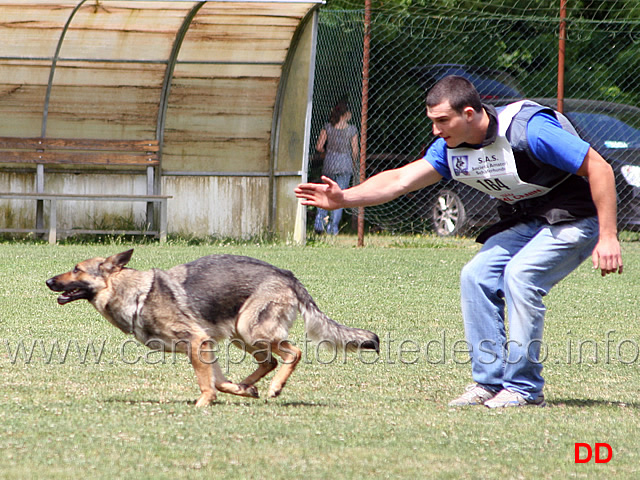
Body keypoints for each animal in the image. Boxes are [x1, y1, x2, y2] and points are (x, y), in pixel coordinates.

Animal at [46, 249, 380, 406]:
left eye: (76, 269)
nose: (48, 281)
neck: (135, 292)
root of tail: (286, 274)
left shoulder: (197, 342)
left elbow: (207, 384)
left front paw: (203, 403)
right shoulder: (206, 345)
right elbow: (218, 381)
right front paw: (238, 390)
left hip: (251, 330)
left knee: (293, 352)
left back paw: (275, 387)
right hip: (240, 336)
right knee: (270, 360)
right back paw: (248, 385)